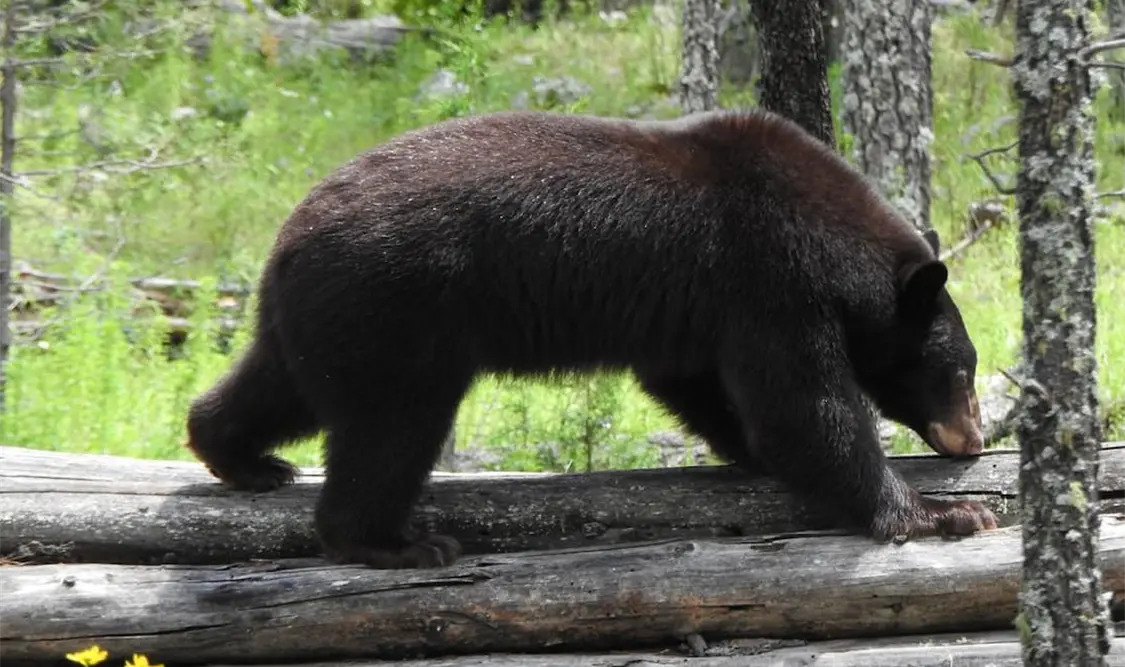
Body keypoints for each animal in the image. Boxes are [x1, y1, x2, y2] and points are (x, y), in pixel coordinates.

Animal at [185, 108, 998, 569]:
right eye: (960, 372)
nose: (973, 439)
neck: (836, 240)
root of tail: (286, 238)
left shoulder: (699, 309)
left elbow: (696, 384)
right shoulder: (769, 279)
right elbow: (803, 408)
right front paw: (943, 513)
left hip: (324, 318)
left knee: (278, 385)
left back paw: (241, 456)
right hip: (397, 307)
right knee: (392, 426)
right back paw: (394, 541)